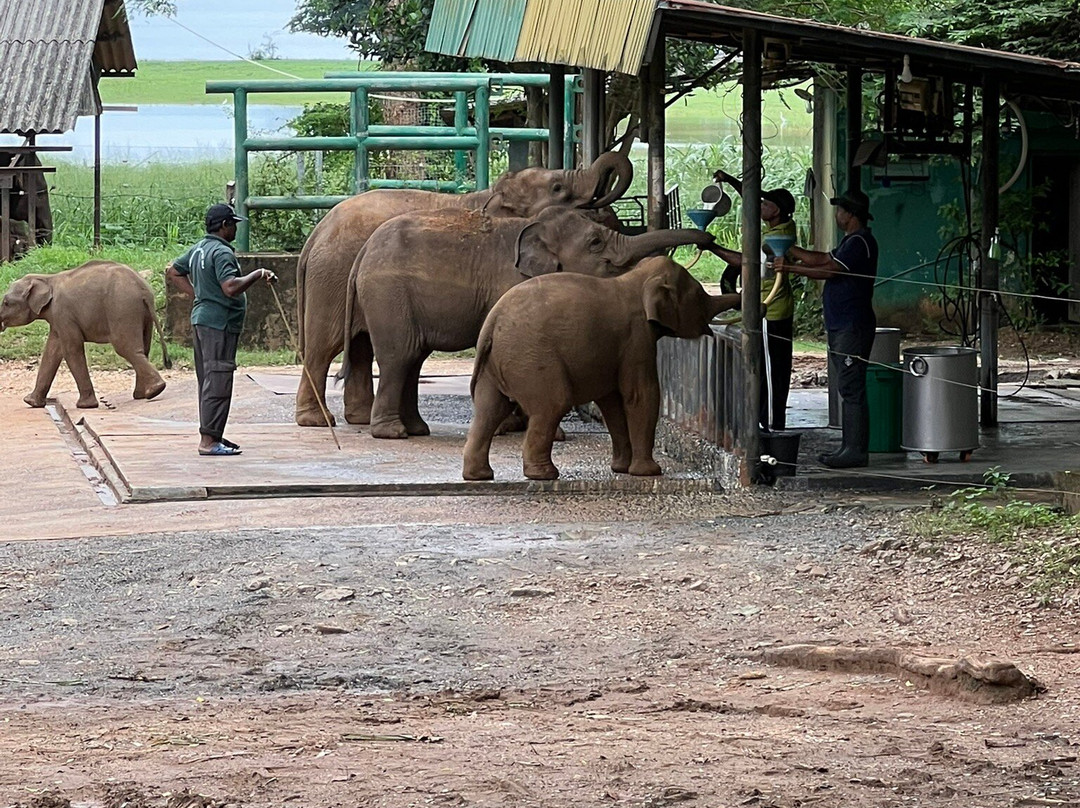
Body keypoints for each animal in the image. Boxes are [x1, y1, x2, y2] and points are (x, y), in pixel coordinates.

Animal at [0, 260, 171, 409]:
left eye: (6, 303)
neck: (47, 278)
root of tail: (144, 291)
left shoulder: (63, 313)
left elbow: (71, 350)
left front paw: (85, 406)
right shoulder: (58, 319)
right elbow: (52, 352)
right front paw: (30, 402)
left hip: (122, 308)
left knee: (126, 348)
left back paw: (156, 389)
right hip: (141, 314)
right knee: (143, 349)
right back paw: (143, 394)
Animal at [294, 151, 634, 428]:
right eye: (557, 188)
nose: (601, 204)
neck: (491, 195)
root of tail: (316, 234)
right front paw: (514, 426)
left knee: (361, 346)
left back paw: (360, 419)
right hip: (332, 279)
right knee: (325, 346)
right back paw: (319, 421)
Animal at [338, 207, 718, 440]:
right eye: (596, 242)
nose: (711, 238)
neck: (532, 224)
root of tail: (362, 254)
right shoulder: (509, 284)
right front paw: (519, 428)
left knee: (414, 358)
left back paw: (417, 429)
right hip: (388, 295)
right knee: (400, 356)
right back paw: (393, 433)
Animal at [462, 256, 740, 481]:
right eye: (700, 295)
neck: (635, 278)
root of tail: (491, 323)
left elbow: (611, 402)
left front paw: (621, 469)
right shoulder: (636, 339)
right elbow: (641, 396)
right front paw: (649, 473)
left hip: (499, 363)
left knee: (489, 410)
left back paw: (479, 475)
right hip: (530, 358)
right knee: (551, 405)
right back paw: (544, 475)